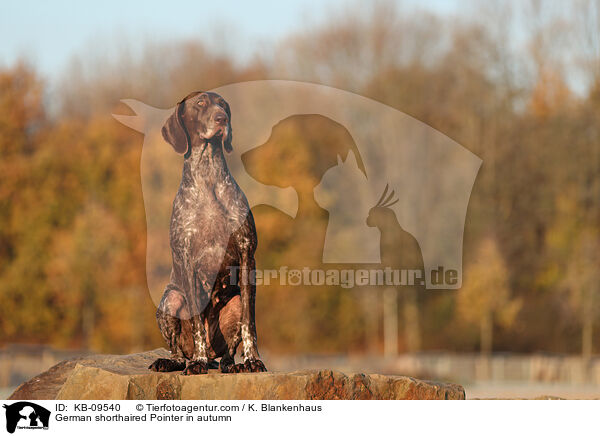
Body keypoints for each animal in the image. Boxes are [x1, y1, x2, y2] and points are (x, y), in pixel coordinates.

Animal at [146, 92, 266, 374]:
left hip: (234, 302)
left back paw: (229, 364)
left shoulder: (247, 255)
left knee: (227, 353)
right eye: (200, 103)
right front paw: (198, 363)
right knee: (179, 351)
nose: (221, 118)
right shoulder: (188, 260)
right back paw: (179, 360)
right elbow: (198, 323)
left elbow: (249, 323)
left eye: (223, 105)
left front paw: (253, 360)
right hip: (171, 300)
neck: (208, 175)